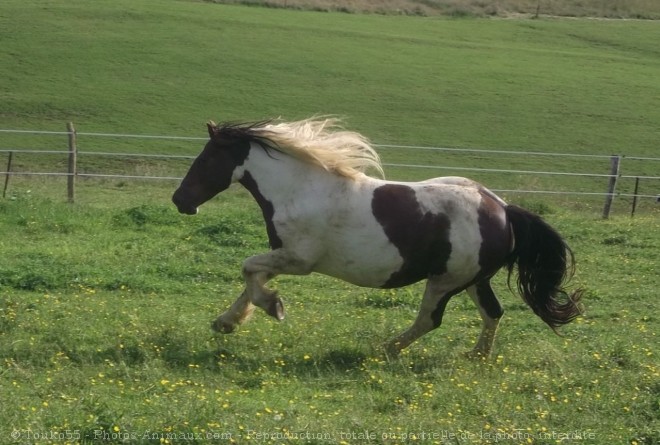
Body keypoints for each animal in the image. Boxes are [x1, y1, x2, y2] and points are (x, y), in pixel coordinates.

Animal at [171, 116, 584, 356]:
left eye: (205, 159)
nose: (180, 200)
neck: (300, 189)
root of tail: (503, 209)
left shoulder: (299, 260)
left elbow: (248, 270)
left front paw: (274, 307)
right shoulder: (281, 254)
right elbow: (250, 278)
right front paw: (227, 322)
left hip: (445, 281)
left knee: (430, 320)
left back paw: (384, 349)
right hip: (472, 280)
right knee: (492, 313)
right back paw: (475, 358)